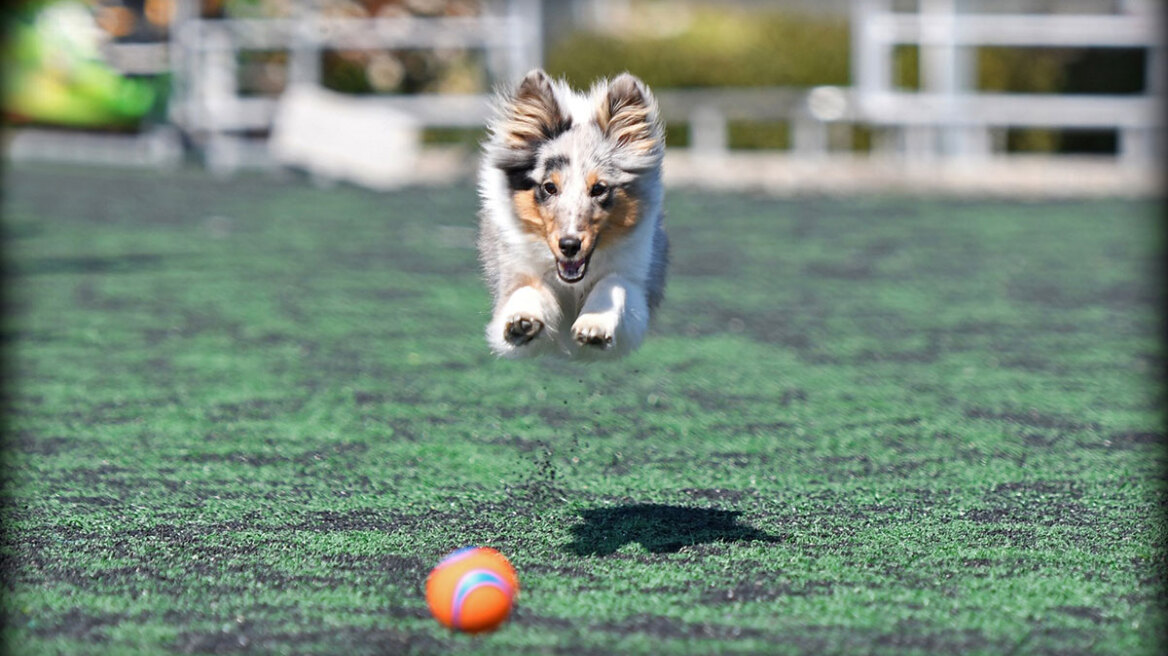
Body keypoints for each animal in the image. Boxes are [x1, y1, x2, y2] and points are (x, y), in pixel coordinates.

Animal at [478, 69, 672, 357]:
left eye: (599, 188)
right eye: (549, 187)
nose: (569, 246)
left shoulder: (635, 283)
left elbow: (613, 285)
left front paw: (594, 324)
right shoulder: (515, 270)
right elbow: (528, 291)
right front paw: (522, 321)